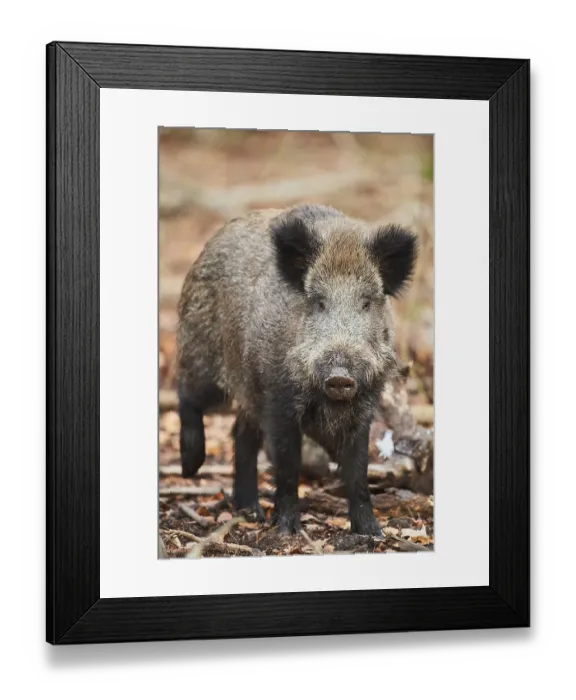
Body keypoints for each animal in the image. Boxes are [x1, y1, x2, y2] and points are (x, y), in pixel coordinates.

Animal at [177, 204, 418, 535]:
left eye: (367, 302)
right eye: (319, 302)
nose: (339, 376)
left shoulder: (363, 407)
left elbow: (358, 471)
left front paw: (371, 534)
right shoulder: (279, 400)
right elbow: (289, 466)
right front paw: (286, 531)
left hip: (249, 390)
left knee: (241, 433)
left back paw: (251, 512)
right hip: (202, 354)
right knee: (187, 394)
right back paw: (191, 467)